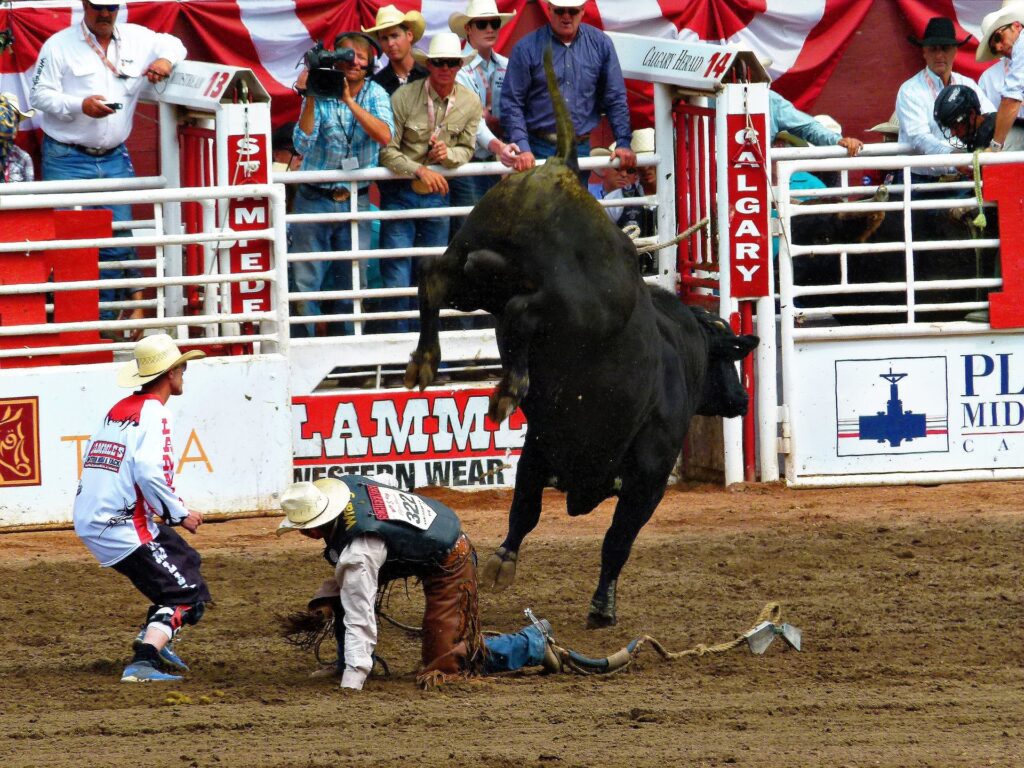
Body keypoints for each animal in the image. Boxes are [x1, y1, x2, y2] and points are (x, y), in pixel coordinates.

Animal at [405, 151, 761, 630]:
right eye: (727, 359)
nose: (742, 399)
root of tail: (560, 169)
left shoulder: (539, 446)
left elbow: (525, 510)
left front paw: (504, 559)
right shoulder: (647, 481)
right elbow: (617, 540)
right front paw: (602, 605)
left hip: (474, 267)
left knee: (434, 278)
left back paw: (430, 361)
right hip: (568, 304)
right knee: (520, 312)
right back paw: (507, 387)